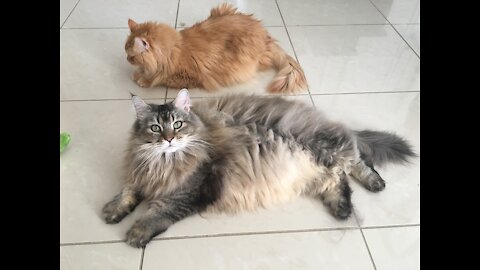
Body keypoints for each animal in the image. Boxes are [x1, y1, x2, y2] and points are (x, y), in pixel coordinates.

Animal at [102, 88, 416, 247]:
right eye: (155, 128)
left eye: (177, 124)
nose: (168, 139)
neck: (163, 162)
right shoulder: (139, 173)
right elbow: (127, 190)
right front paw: (114, 209)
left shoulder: (194, 189)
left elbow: (159, 211)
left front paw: (138, 232)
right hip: (315, 169)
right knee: (338, 181)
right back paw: (341, 209)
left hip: (330, 149)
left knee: (359, 163)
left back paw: (374, 184)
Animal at [124, 2, 308, 94]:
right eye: (127, 54)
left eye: (131, 56)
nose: (126, 59)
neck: (174, 49)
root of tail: (266, 38)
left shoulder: (185, 78)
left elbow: (159, 78)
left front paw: (142, 78)